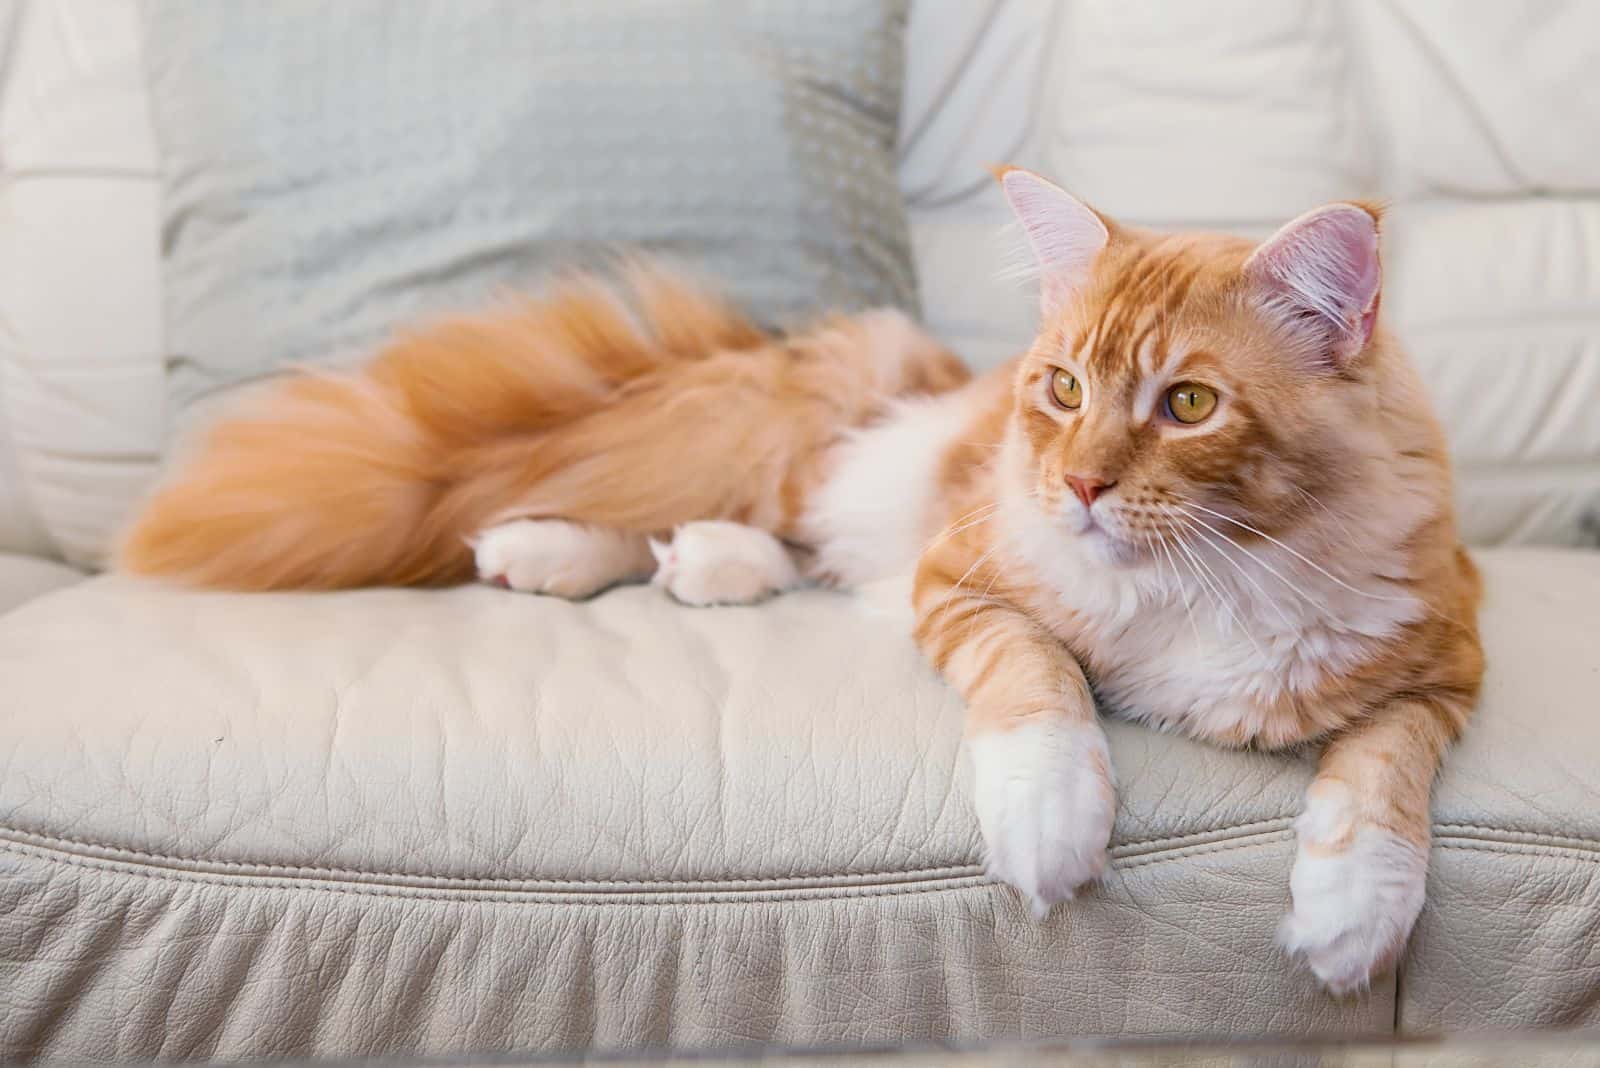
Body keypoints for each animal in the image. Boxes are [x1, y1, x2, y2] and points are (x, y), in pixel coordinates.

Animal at [121, 171, 1484, 997]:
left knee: (791, 555)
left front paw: (1352, 916)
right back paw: (551, 549)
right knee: (727, 514)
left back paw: (698, 568)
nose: (1079, 486)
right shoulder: (967, 587)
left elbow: (1381, 772)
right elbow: (1042, 689)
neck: (1212, 583)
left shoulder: (1444, 658)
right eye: (1063, 390)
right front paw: (1051, 829)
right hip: (828, 462)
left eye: (1189, 404)